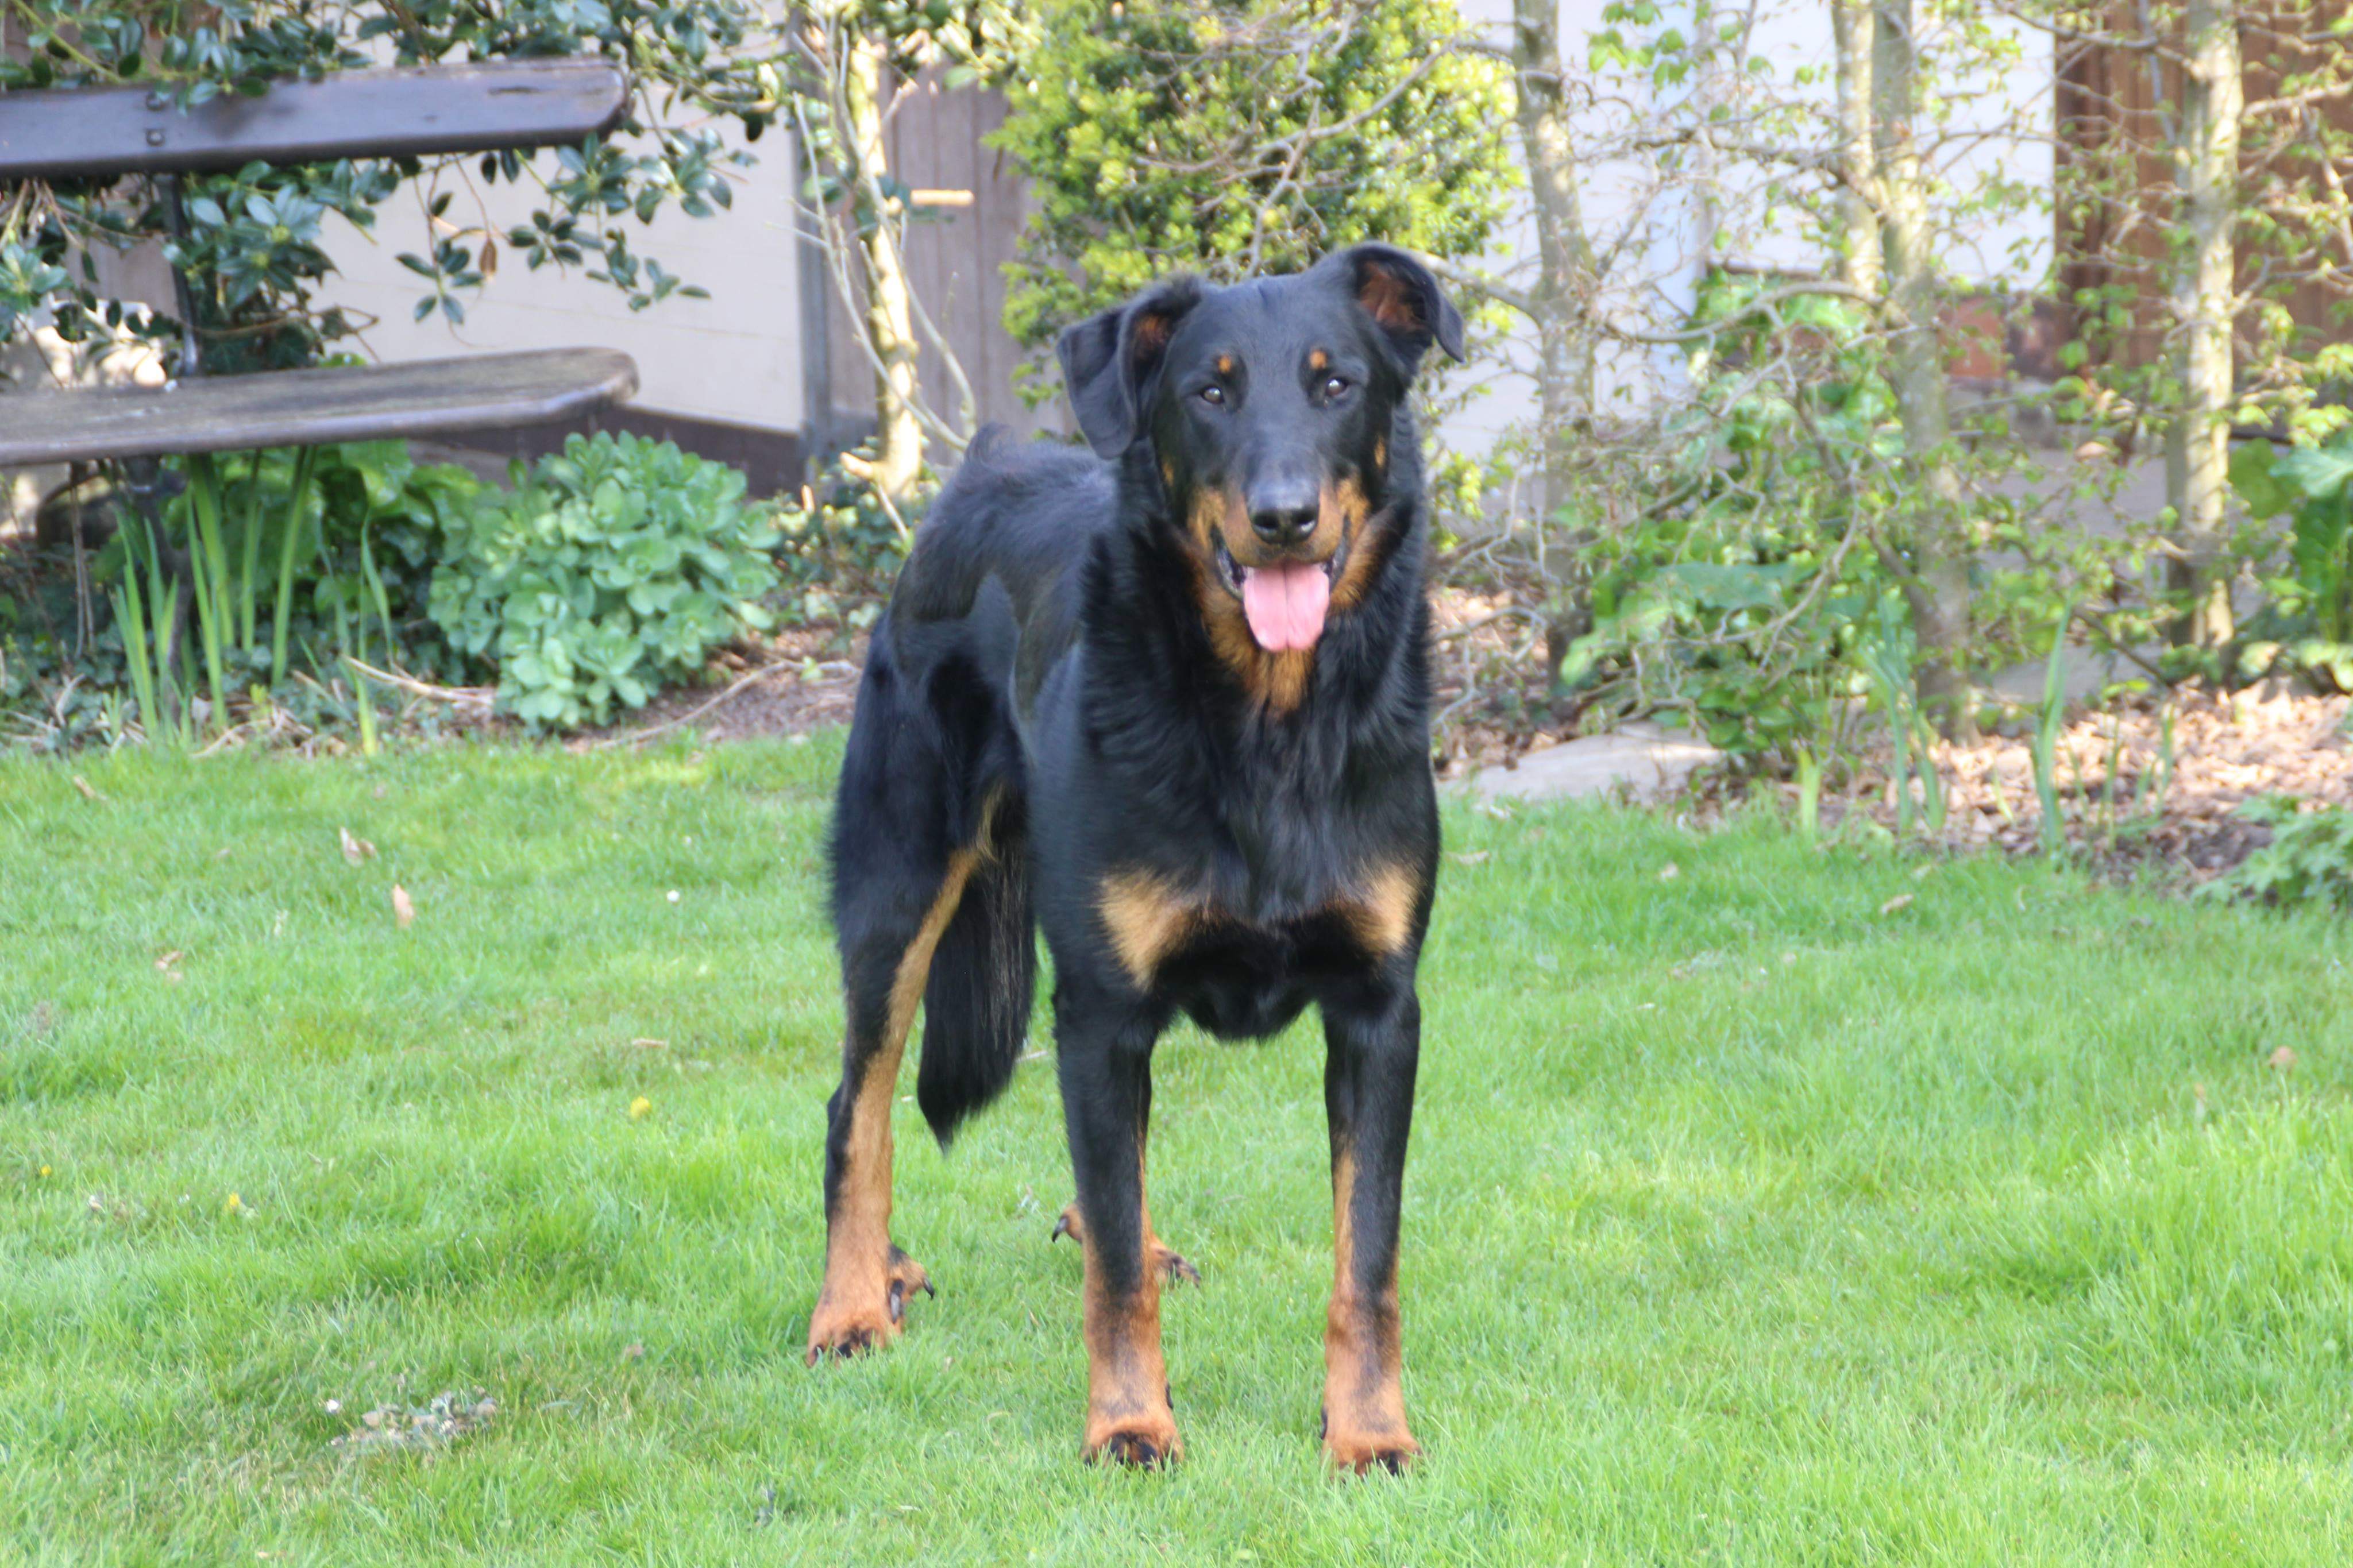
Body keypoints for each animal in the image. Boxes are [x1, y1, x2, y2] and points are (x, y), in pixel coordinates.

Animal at [807, 244, 1463, 1473]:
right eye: (1208, 393)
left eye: (1337, 385)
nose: (1284, 518)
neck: (1267, 723)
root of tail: (982, 466)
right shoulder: (1104, 1009)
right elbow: (1111, 1275)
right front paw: (1128, 1421)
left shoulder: (1377, 1013)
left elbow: (1368, 1257)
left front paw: (1365, 1433)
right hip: (900, 890)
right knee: (855, 1109)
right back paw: (855, 1302)